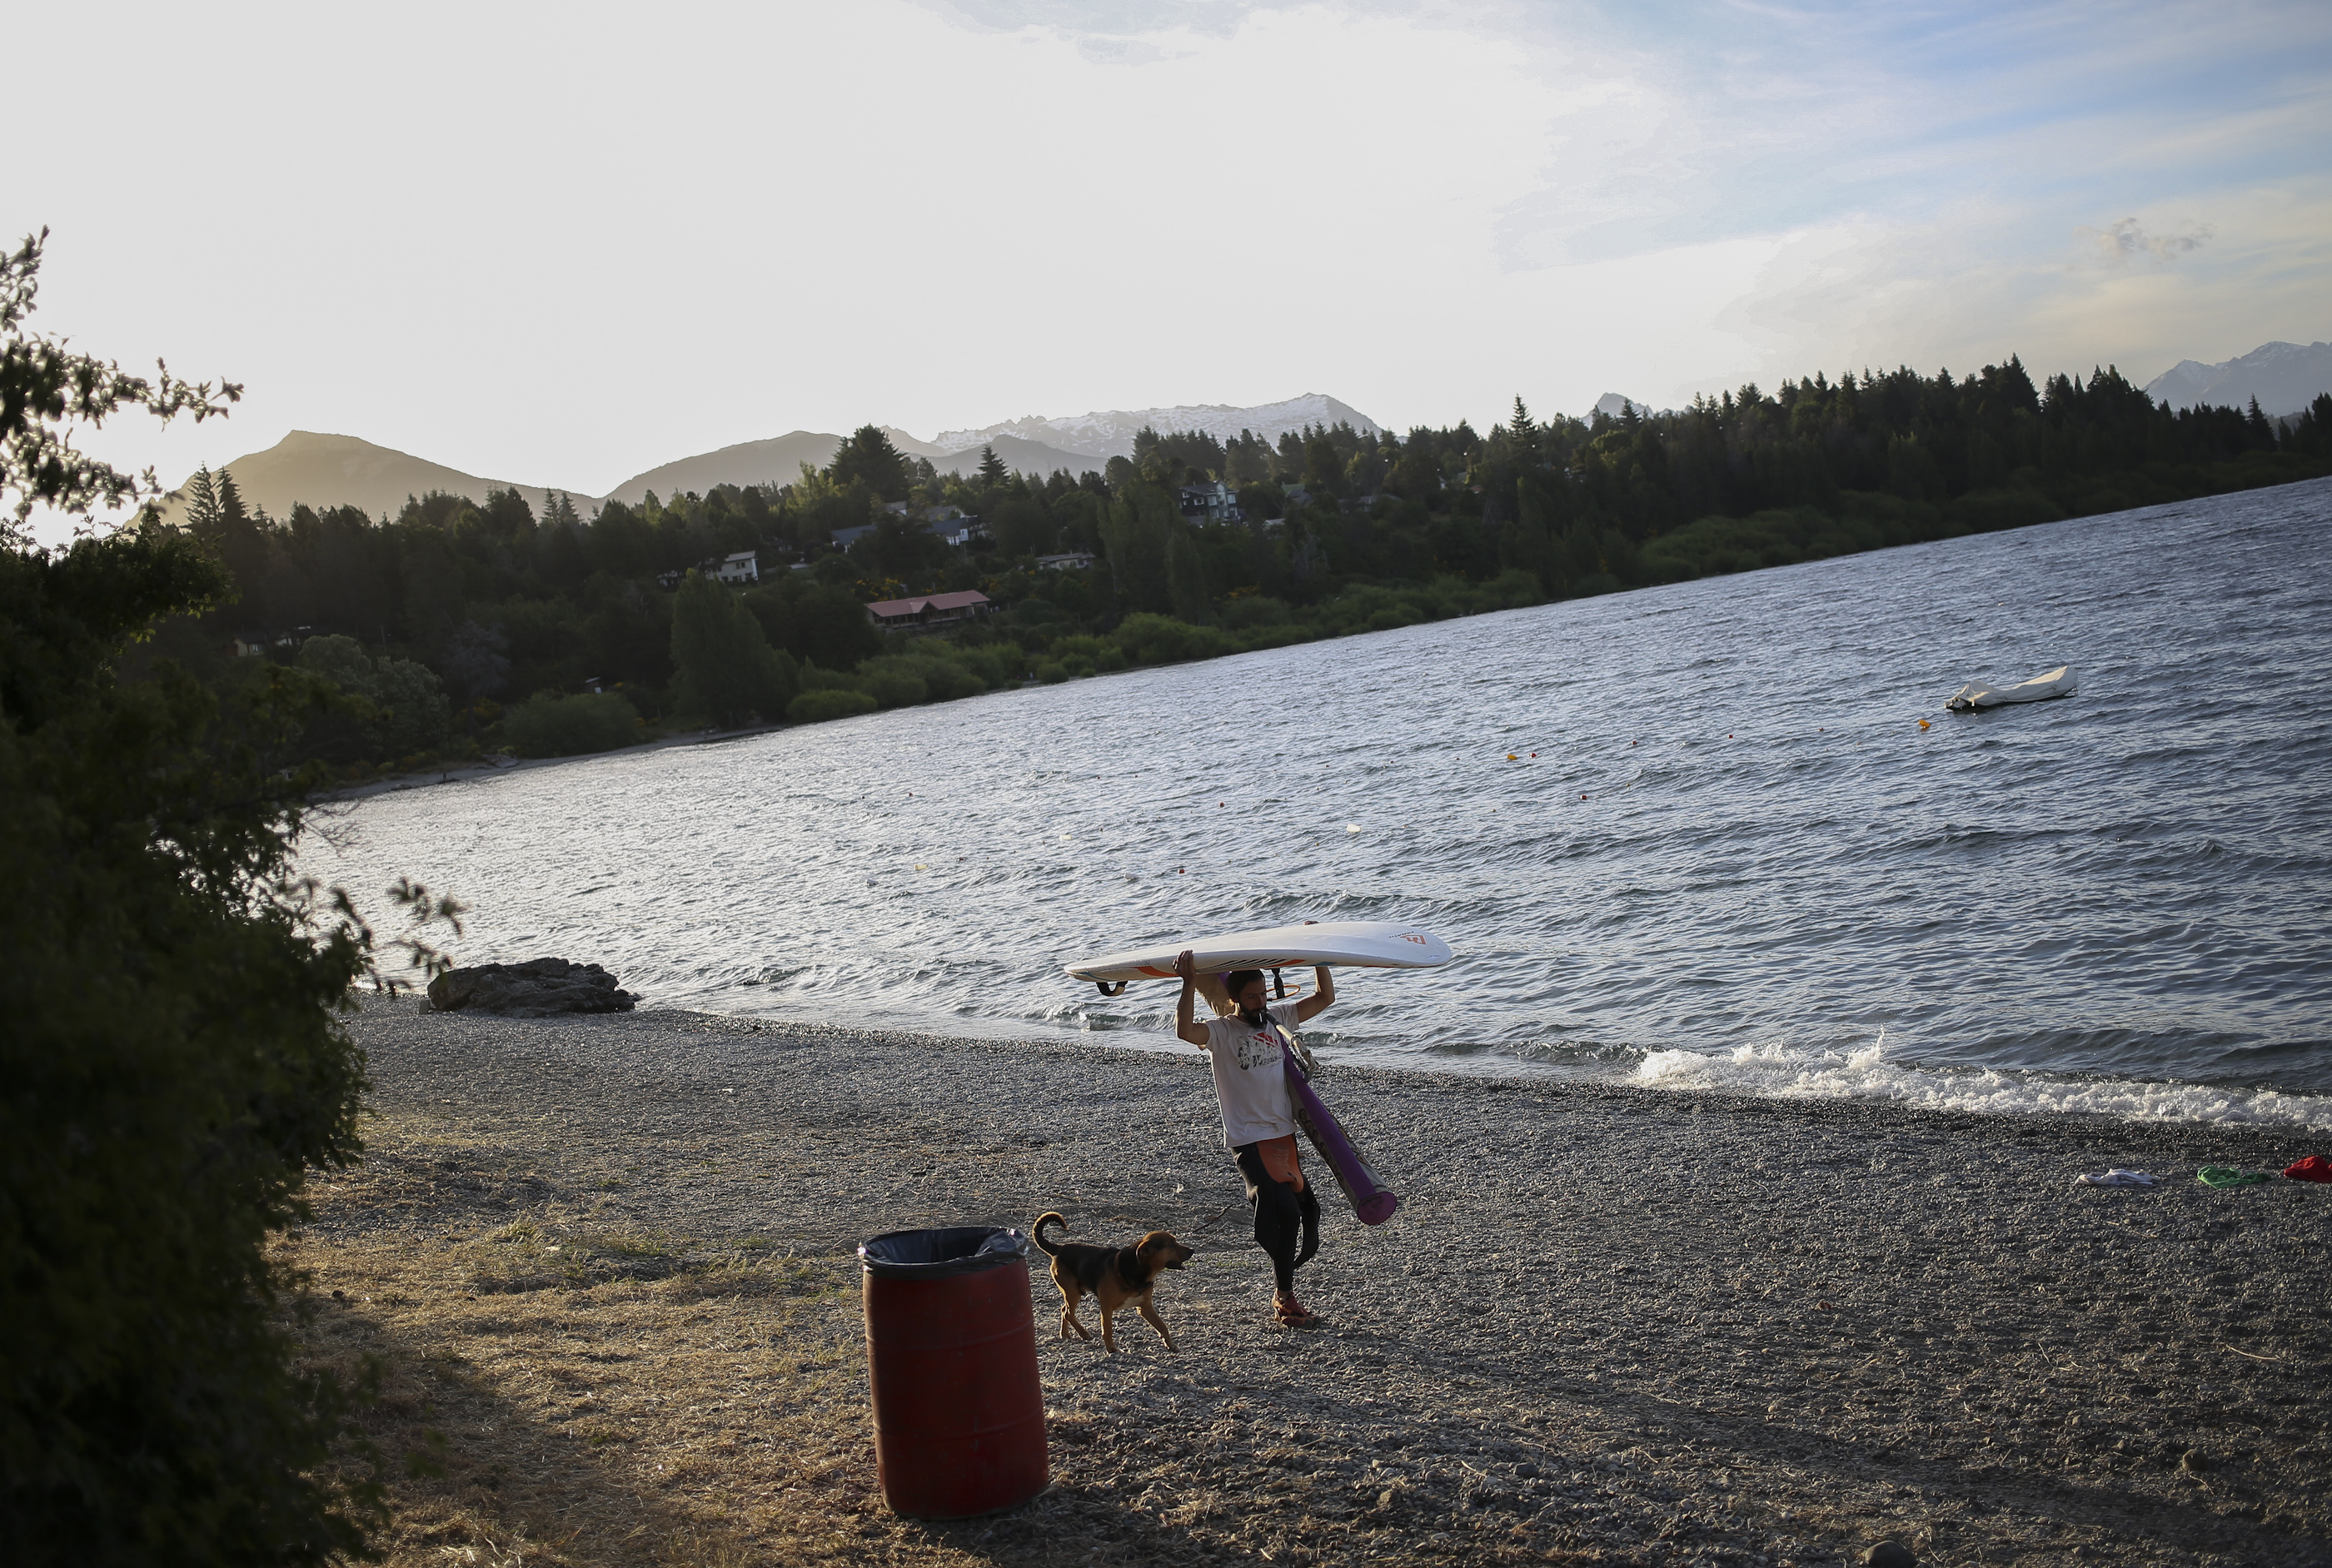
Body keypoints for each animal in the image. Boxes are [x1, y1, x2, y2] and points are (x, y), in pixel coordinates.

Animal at [1035, 1213, 1193, 1344]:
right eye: (1170, 1245)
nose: (1192, 1250)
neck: (1138, 1271)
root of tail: (1059, 1249)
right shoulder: (1107, 1308)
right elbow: (1108, 1332)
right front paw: (1112, 1350)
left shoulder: (1146, 1307)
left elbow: (1162, 1326)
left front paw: (1171, 1346)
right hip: (1073, 1292)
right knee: (1068, 1313)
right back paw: (1084, 1333)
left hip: (1073, 1292)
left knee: (1064, 1310)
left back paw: (1065, 1334)